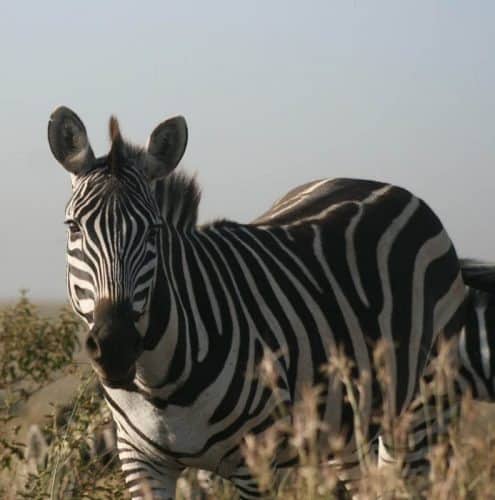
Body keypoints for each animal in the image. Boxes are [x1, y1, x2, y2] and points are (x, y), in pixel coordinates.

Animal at [48, 106, 466, 500]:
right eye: (73, 228)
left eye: (153, 231)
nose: (115, 347)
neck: (159, 385)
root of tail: (378, 185)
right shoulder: (140, 461)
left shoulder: (257, 461)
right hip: (349, 426)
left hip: (423, 407)